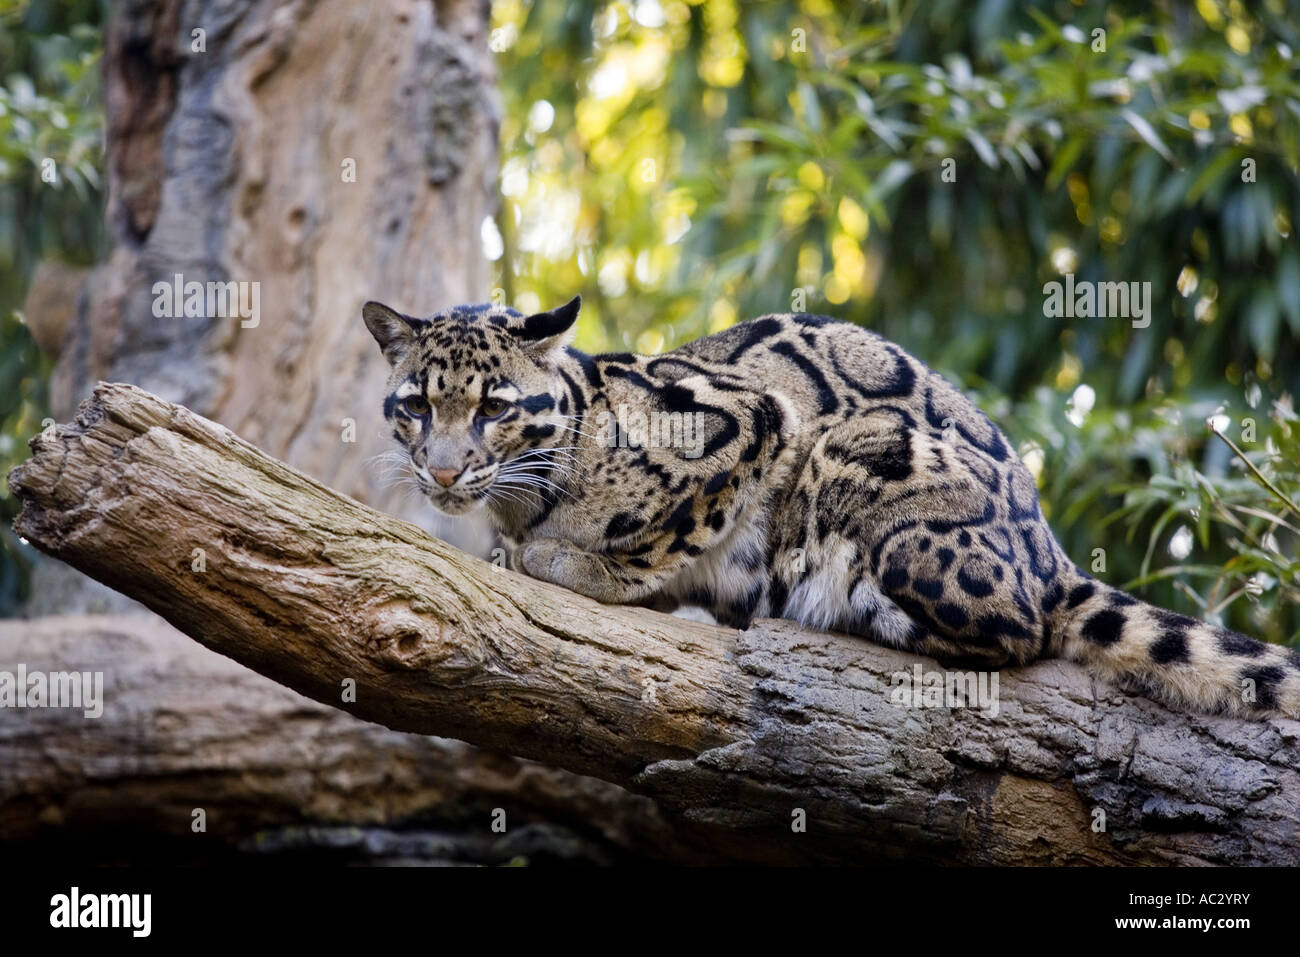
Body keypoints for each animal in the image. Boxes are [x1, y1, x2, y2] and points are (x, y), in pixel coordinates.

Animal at [363, 294, 1300, 719]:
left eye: (494, 407)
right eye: (415, 406)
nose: (442, 473)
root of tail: (1052, 553)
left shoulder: (750, 420)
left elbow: (669, 527)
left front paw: (574, 562)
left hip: (860, 459)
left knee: (1014, 628)